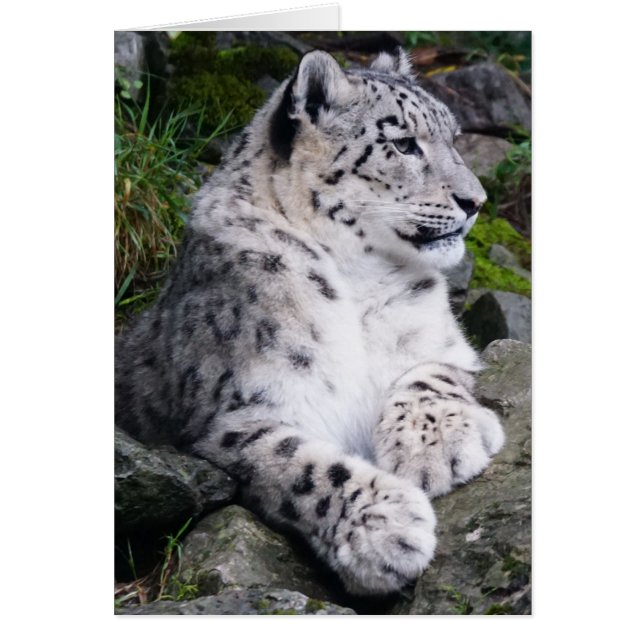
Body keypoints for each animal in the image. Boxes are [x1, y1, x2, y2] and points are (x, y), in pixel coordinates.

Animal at [115, 48, 505, 596]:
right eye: (404, 143)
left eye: (453, 137)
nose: (476, 202)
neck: (360, 279)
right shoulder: (235, 417)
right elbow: (301, 467)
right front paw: (385, 528)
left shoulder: (442, 345)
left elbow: (429, 376)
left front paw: (437, 447)